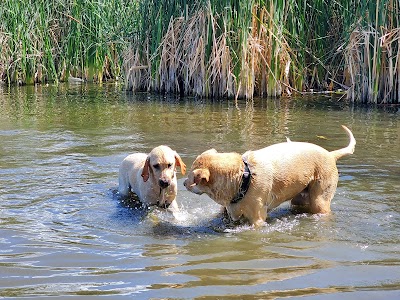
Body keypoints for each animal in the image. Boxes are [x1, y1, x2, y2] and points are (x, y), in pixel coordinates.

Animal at [184, 125, 356, 226]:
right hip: (299, 198)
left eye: (193, 178)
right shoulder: (228, 211)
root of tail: (331, 155)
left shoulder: (258, 219)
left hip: (320, 200)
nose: (184, 183)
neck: (243, 177)